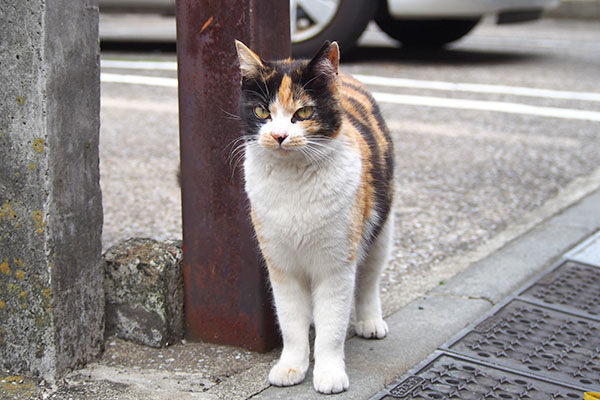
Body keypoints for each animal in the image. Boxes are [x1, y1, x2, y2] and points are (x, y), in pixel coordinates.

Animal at [237, 39, 396, 396]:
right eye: (262, 112)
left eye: (304, 113)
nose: (279, 135)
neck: (294, 182)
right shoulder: (281, 266)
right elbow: (291, 322)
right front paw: (291, 367)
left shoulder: (335, 266)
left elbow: (332, 327)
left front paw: (329, 374)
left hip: (381, 230)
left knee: (368, 279)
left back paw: (369, 321)